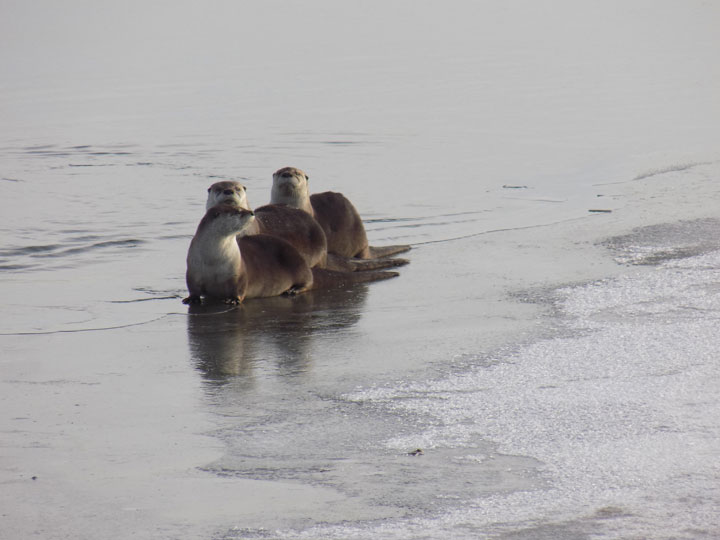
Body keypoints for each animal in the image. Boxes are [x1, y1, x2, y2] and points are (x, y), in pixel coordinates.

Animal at [183, 205, 398, 305]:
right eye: (237, 211)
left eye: (244, 208)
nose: (251, 212)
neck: (214, 260)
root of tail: (306, 263)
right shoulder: (193, 270)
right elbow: (193, 287)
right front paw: (191, 299)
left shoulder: (239, 273)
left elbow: (239, 288)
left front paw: (233, 300)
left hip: (295, 263)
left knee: (308, 282)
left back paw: (293, 290)